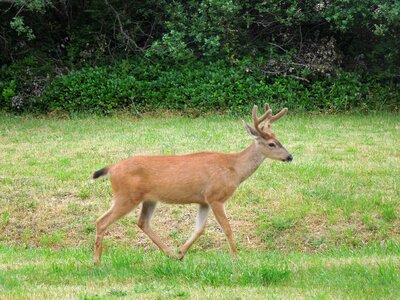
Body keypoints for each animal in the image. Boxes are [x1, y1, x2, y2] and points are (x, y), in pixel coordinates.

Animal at [92, 104, 292, 264]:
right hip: (126, 195)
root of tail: (113, 168)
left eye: (279, 141)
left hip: (148, 199)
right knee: (101, 221)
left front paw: (181, 252)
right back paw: (96, 261)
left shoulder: (203, 200)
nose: (289, 156)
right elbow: (227, 228)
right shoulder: (215, 196)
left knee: (143, 223)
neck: (234, 169)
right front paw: (236, 258)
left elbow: (200, 229)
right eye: (272, 144)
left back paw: (171, 254)